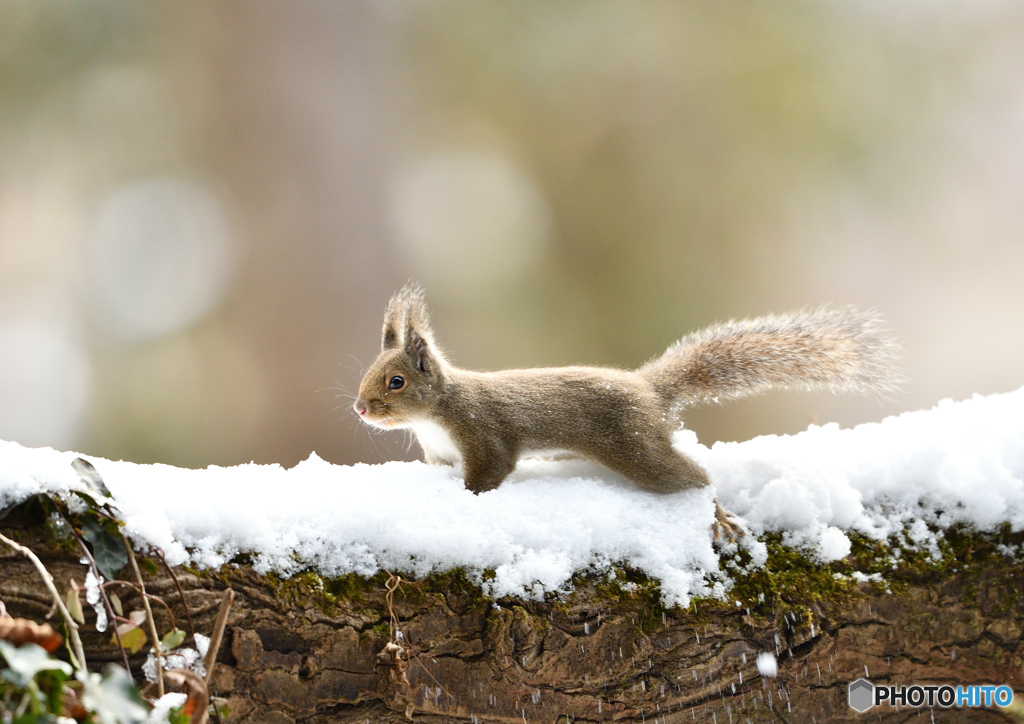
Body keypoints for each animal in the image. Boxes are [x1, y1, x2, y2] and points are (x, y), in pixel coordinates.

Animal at [352, 282, 897, 536]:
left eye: (396, 382)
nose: (360, 409)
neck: (436, 415)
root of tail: (648, 390)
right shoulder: (440, 454)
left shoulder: (484, 437)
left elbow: (490, 474)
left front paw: (467, 500)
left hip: (635, 449)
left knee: (695, 477)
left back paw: (717, 515)